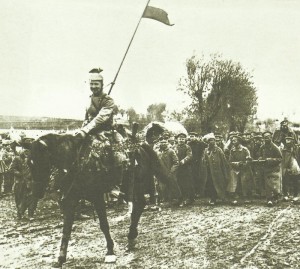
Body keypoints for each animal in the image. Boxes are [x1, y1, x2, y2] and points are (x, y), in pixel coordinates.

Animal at [29, 131, 170, 266]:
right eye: (30, 163)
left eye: (40, 161)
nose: (36, 192)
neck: (77, 161)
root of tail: (140, 145)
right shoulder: (70, 199)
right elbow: (66, 228)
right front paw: (61, 257)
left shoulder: (97, 196)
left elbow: (104, 225)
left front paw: (110, 251)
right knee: (138, 205)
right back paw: (131, 237)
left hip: (136, 185)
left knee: (140, 204)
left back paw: (131, 236)